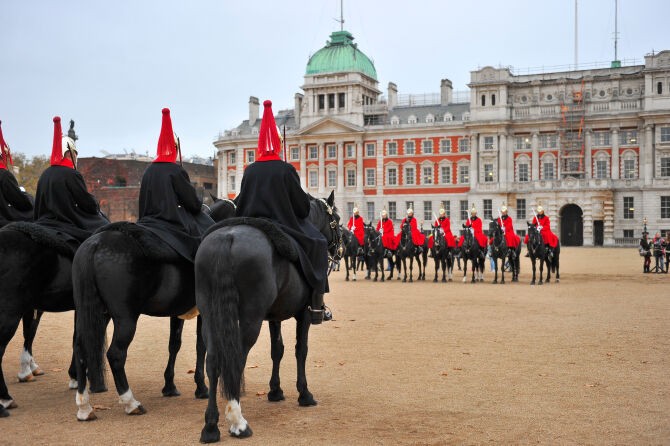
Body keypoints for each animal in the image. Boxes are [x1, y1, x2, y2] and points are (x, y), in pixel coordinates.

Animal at [72, 199, 236, 421]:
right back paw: (130, 402)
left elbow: (174, 344)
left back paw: (84, 406)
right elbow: (201, 346)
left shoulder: (177, 313)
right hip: (125, 319)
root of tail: (96, 243)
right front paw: (201, 387)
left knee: (81, 349)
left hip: (95, 314)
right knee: (116, 354)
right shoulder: (205, 312)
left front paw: (169, 385)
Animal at [194, 192, 340, 443]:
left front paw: (275, 390)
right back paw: (238, 422)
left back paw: (211, 426)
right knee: (236, 359)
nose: (342, 248)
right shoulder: (303, 314)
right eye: (338, 219)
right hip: (250, 319)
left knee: (212, 361)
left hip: (210, 316)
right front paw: (304, 393)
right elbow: (301, 350)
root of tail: (227, 238)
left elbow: (277, 350)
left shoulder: (274, 316)